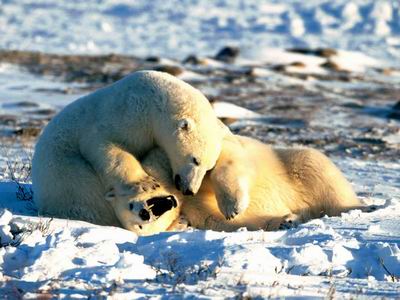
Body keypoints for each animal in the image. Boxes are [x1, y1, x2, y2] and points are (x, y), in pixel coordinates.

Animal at [31, 71, 233, 225]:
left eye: (208, 167)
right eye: (195, 159)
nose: (189, 190)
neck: (153, 102)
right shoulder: (125, 115)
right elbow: (107, 145)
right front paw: (145, 182)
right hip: (65, 174)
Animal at [110, 135, 362, 236]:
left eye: (132, 204)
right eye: (139, 225)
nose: (145, 213)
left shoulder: (169, 158)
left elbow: (221, 161)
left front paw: (232, 206)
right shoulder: (195, 211)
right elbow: (227, 221)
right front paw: (286, 220)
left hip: (292, 163)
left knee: (316, 170)